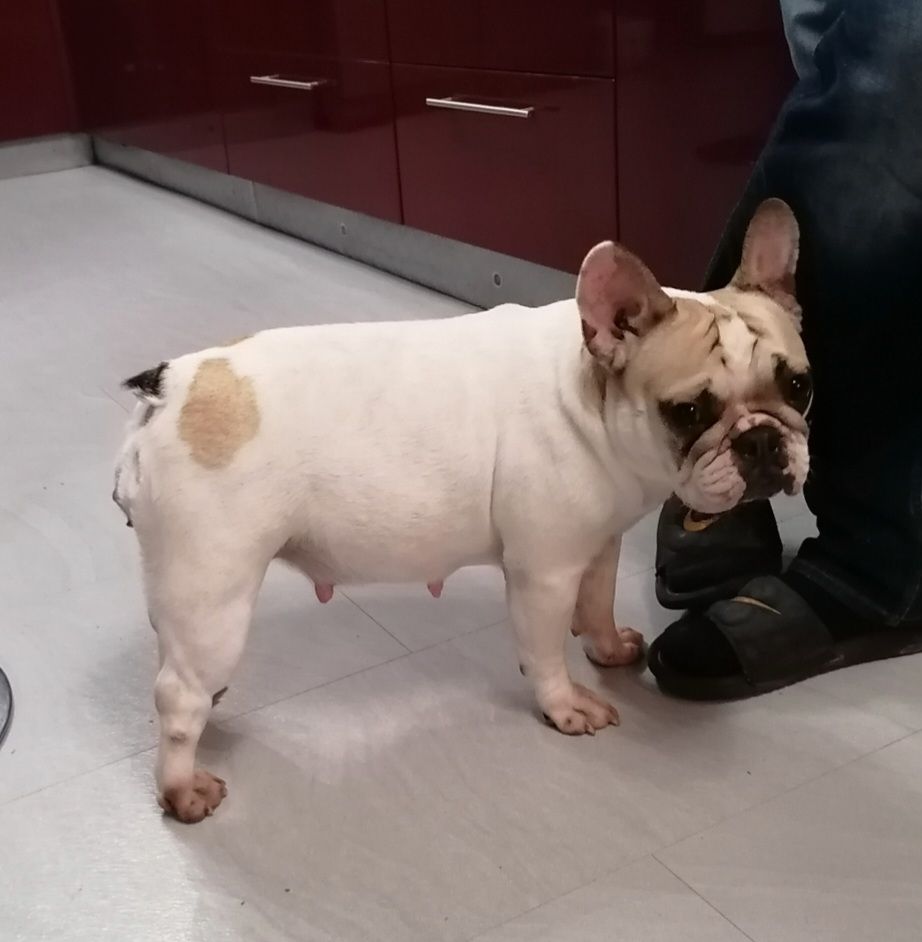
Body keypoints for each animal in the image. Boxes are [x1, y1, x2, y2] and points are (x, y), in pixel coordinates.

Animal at [114, 199, 810, 822]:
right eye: (688, 411)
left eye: (800, 385)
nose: (761, 440)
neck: (589, 391)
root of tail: (169, 388)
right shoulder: (544, 573)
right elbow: (545, 650)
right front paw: (564, 706)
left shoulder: (599, 544)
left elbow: (597, 605)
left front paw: (610, 650)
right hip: (216, 590)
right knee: (177, 696)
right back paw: (182, 789)